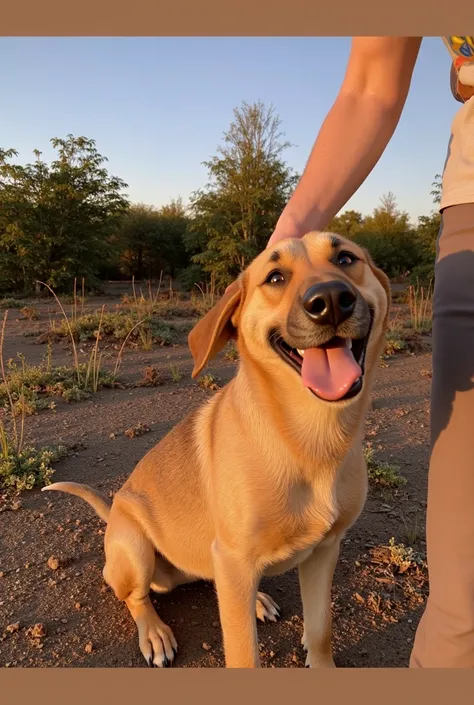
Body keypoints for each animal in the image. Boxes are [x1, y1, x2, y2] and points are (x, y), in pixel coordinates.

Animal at [43, 234, 388, 668]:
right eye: (275, 277)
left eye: (345, 258)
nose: (329, 300)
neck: (309, 437)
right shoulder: (236, 559)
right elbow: (243, 654)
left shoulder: (324, 549)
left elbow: (321, 628)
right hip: (136, 550)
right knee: (135, 597)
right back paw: (155, 633)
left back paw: (256, 600)